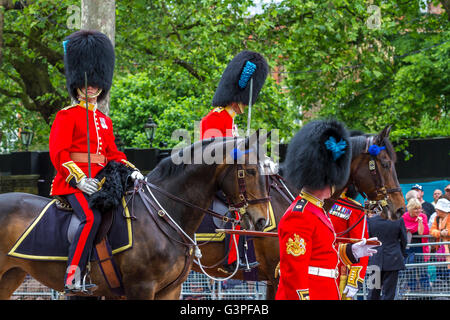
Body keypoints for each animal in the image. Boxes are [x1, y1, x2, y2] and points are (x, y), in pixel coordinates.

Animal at [0, 136, 270, 298]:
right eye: (250, 170)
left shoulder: (169, 291)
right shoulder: (141, 288)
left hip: (11, 275)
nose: (262, 221)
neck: (164, 214)